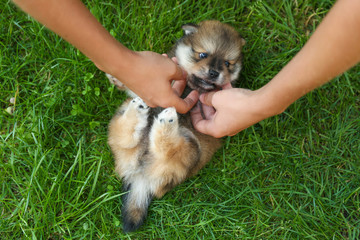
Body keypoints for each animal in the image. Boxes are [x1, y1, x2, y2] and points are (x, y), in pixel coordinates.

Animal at [107, 20, 245, 232]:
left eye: (227, 64)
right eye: (203, 54)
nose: (214, 73)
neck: (191, 87)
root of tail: (141, 179)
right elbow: (138, 84)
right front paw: (120, 76)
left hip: (190, 148)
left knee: (166, 147)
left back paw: (166, 119)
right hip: (124, 125)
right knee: (124, 138)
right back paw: (138, 111)